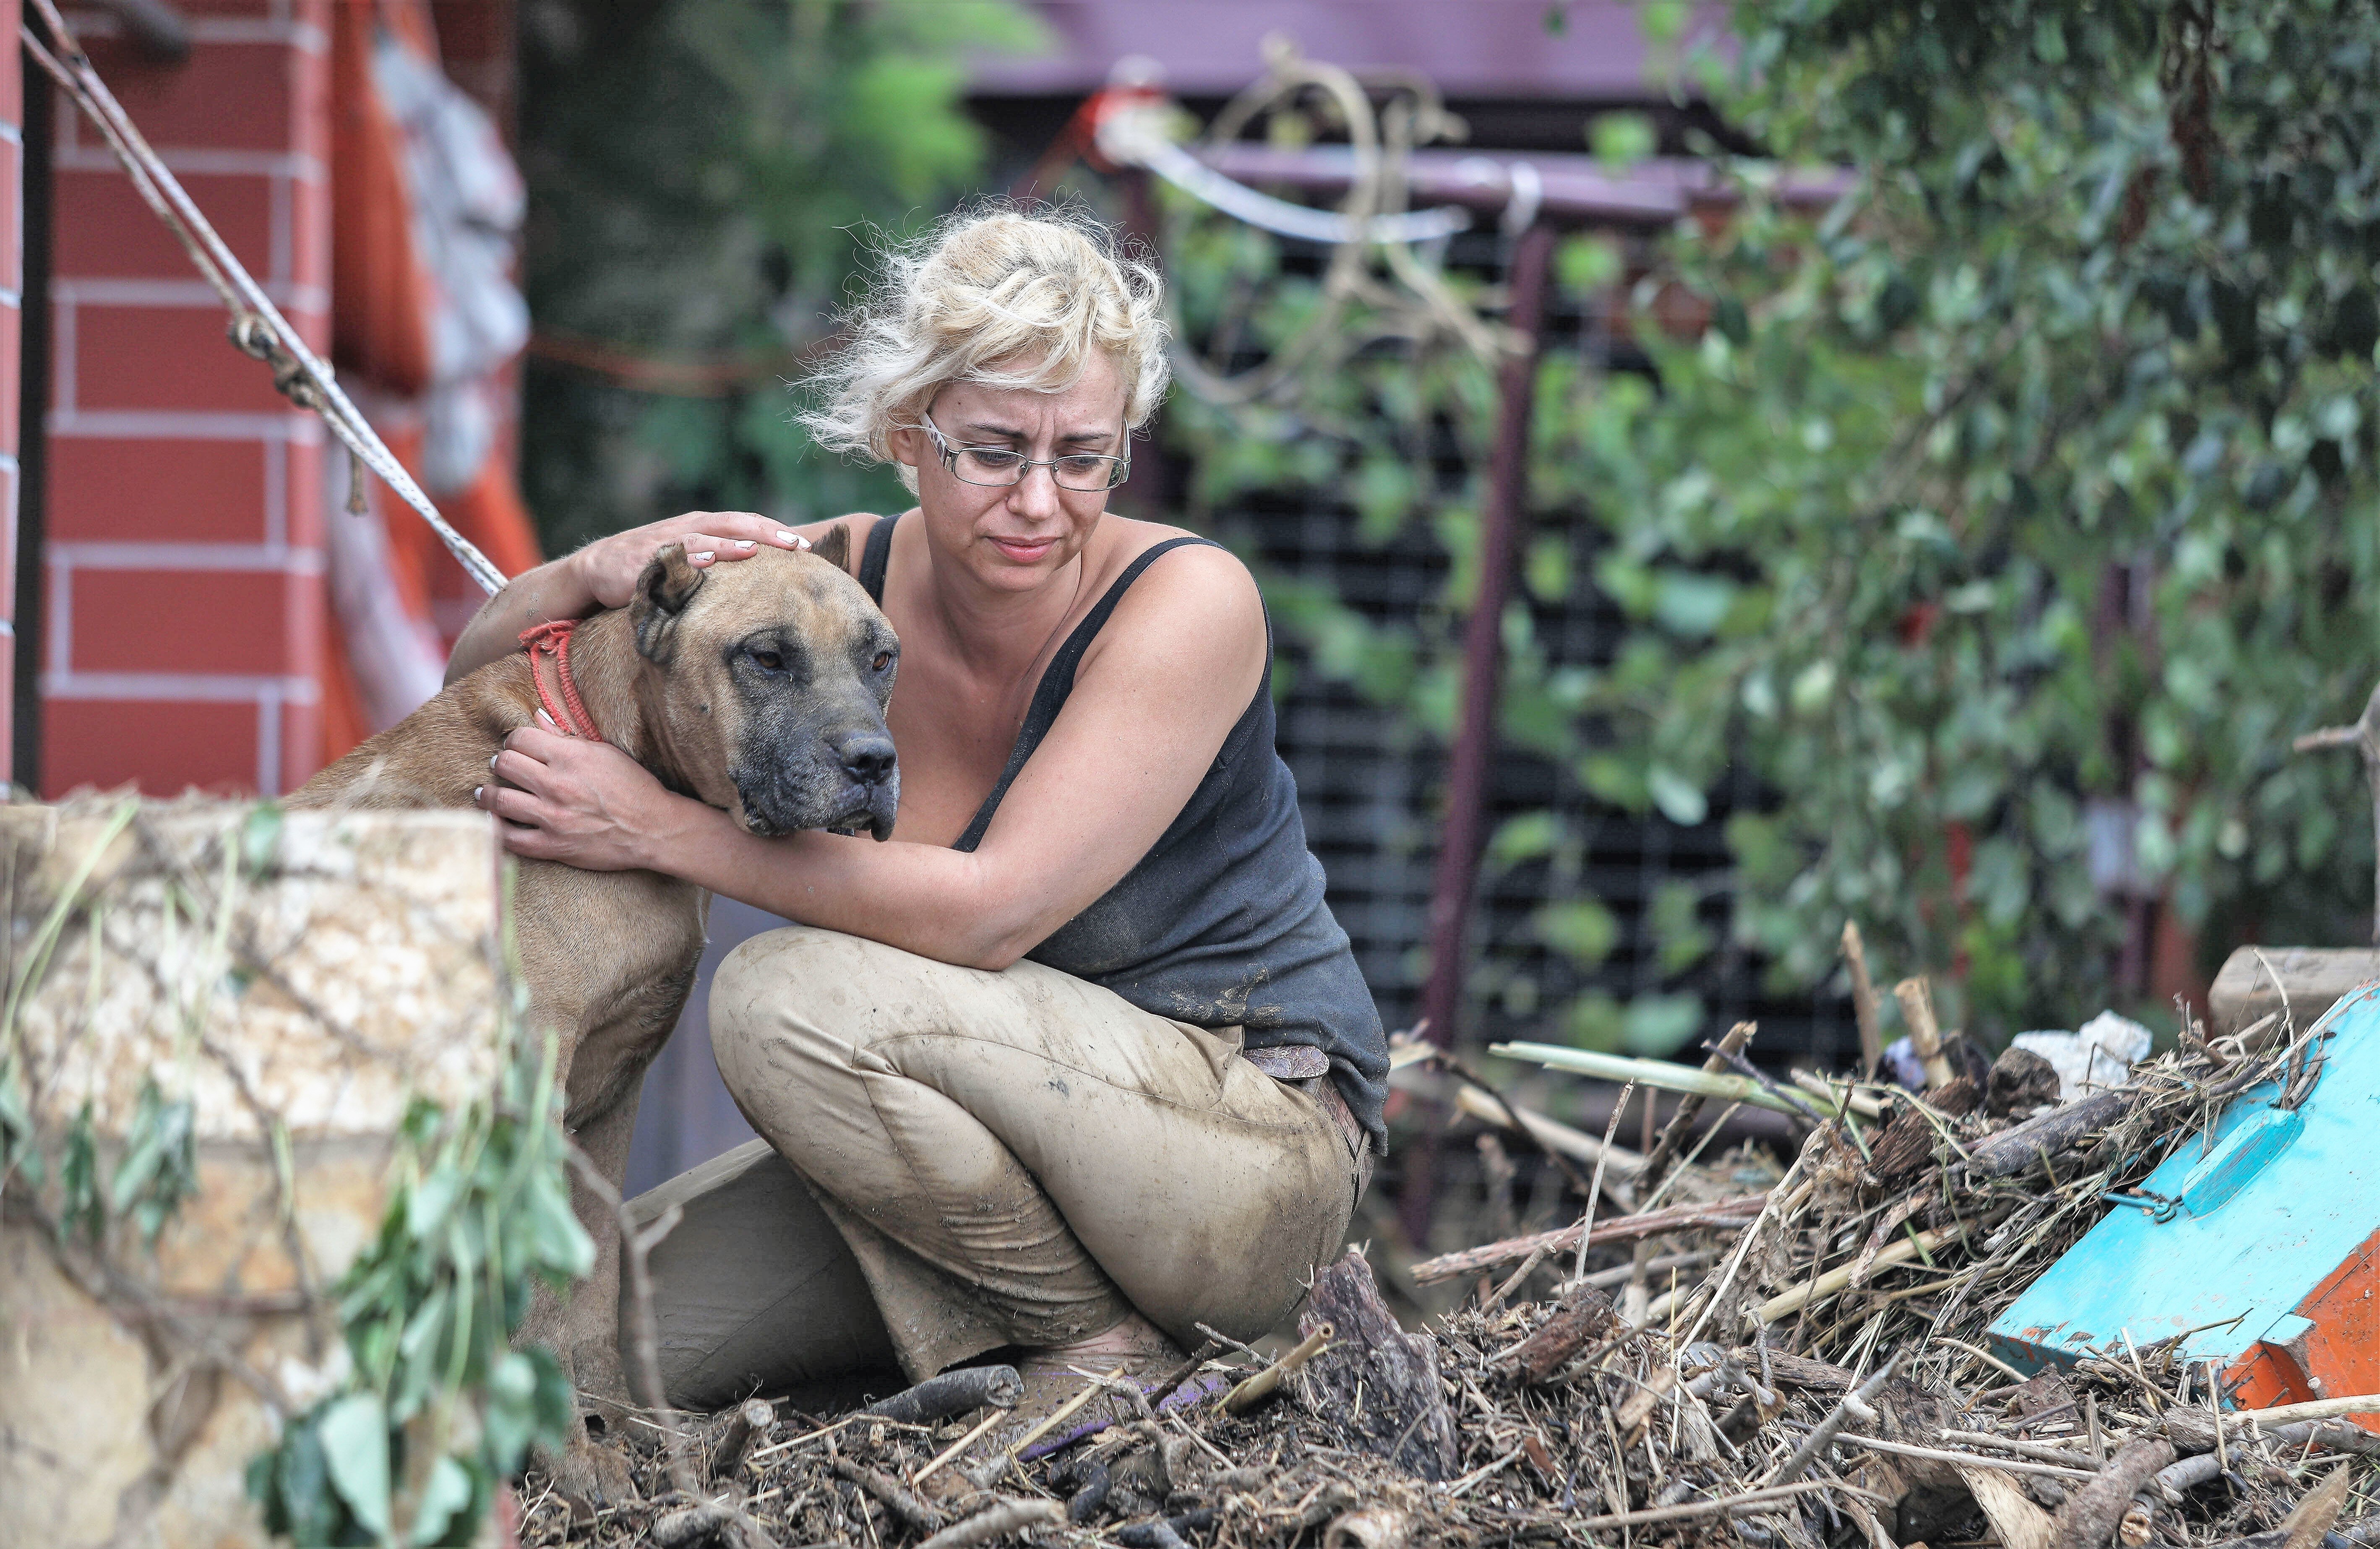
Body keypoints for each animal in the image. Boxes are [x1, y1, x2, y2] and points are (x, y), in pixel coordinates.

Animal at [290, 528, 899, 1494]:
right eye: (767, 657)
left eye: (882, 658)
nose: (873, 762)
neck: (611, 741)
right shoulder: (527, 1100)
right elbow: (537, 1296)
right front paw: (570, 1463)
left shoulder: (609, 1100)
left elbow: (593, 1288)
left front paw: (625, 1427)